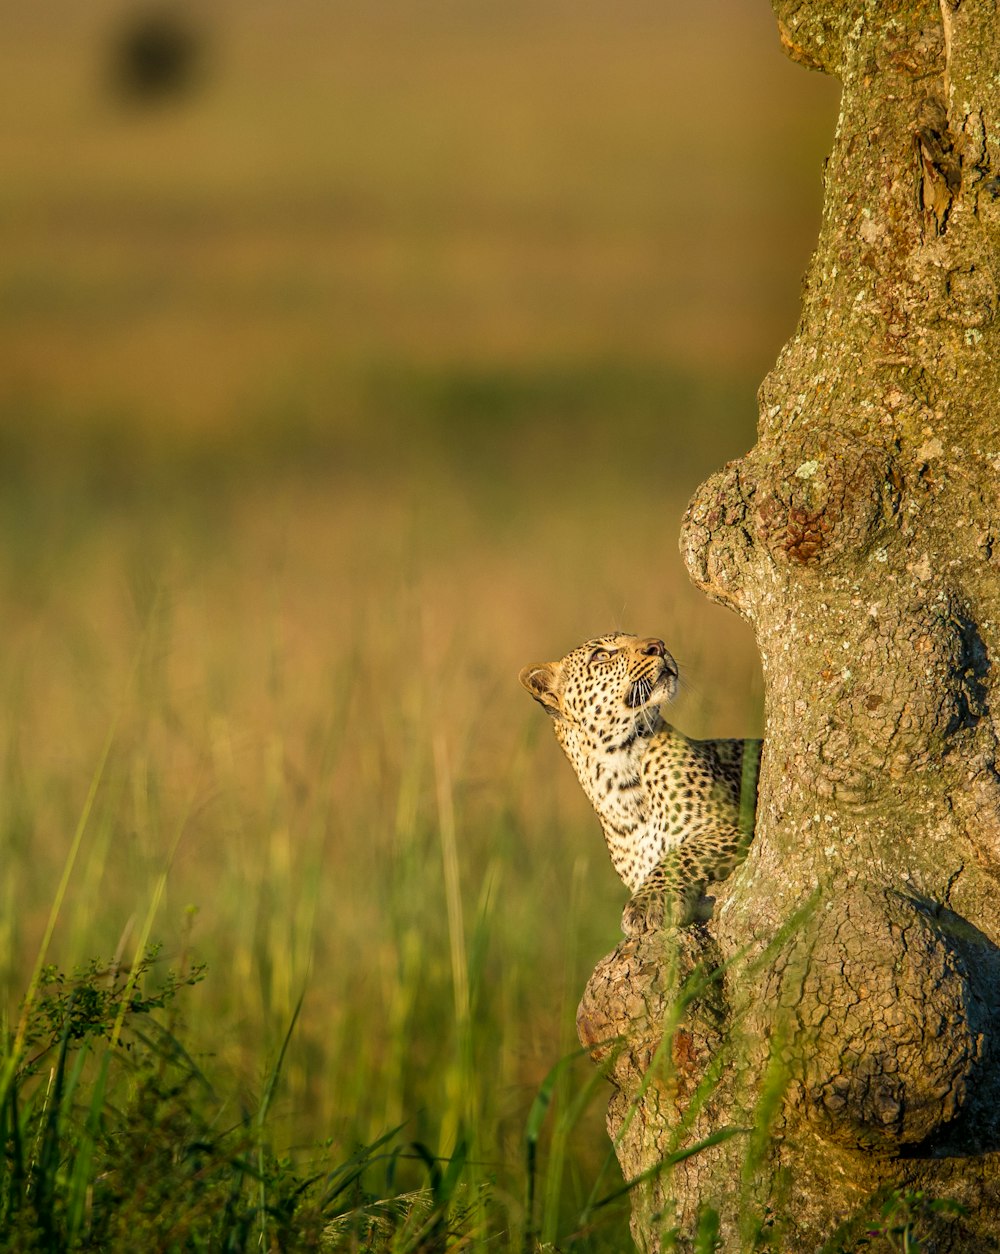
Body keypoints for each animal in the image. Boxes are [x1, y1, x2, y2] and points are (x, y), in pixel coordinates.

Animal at [519, 637, 762, 932]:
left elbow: (681, 854)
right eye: (601, 656)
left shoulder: (733, 823)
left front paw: (649, 903)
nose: (657, 645)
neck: (621, 774)